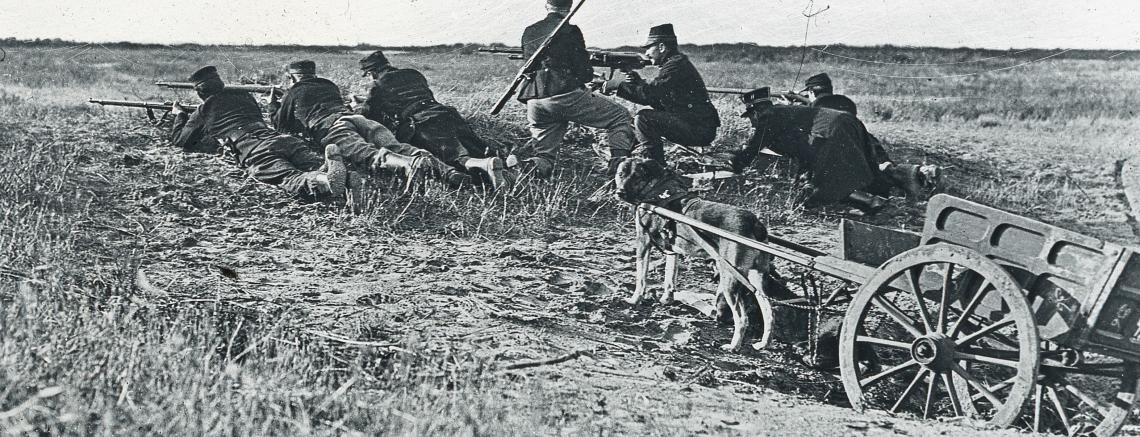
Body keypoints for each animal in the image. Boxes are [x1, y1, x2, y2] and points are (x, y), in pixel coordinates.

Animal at [615, 157, 793, 351]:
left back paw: (734, 346)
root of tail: (755, 223)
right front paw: (666, 299)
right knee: (769, 311)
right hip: (756, 277)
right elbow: (670, 277)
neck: (655, 188)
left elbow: (641, 279)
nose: (619, 192)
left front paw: (634, 300)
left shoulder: (643, 242)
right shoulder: (672, 251)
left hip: (729, 277)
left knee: (742, 317)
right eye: (621, 174)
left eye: (637, 176)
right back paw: (764, 343)